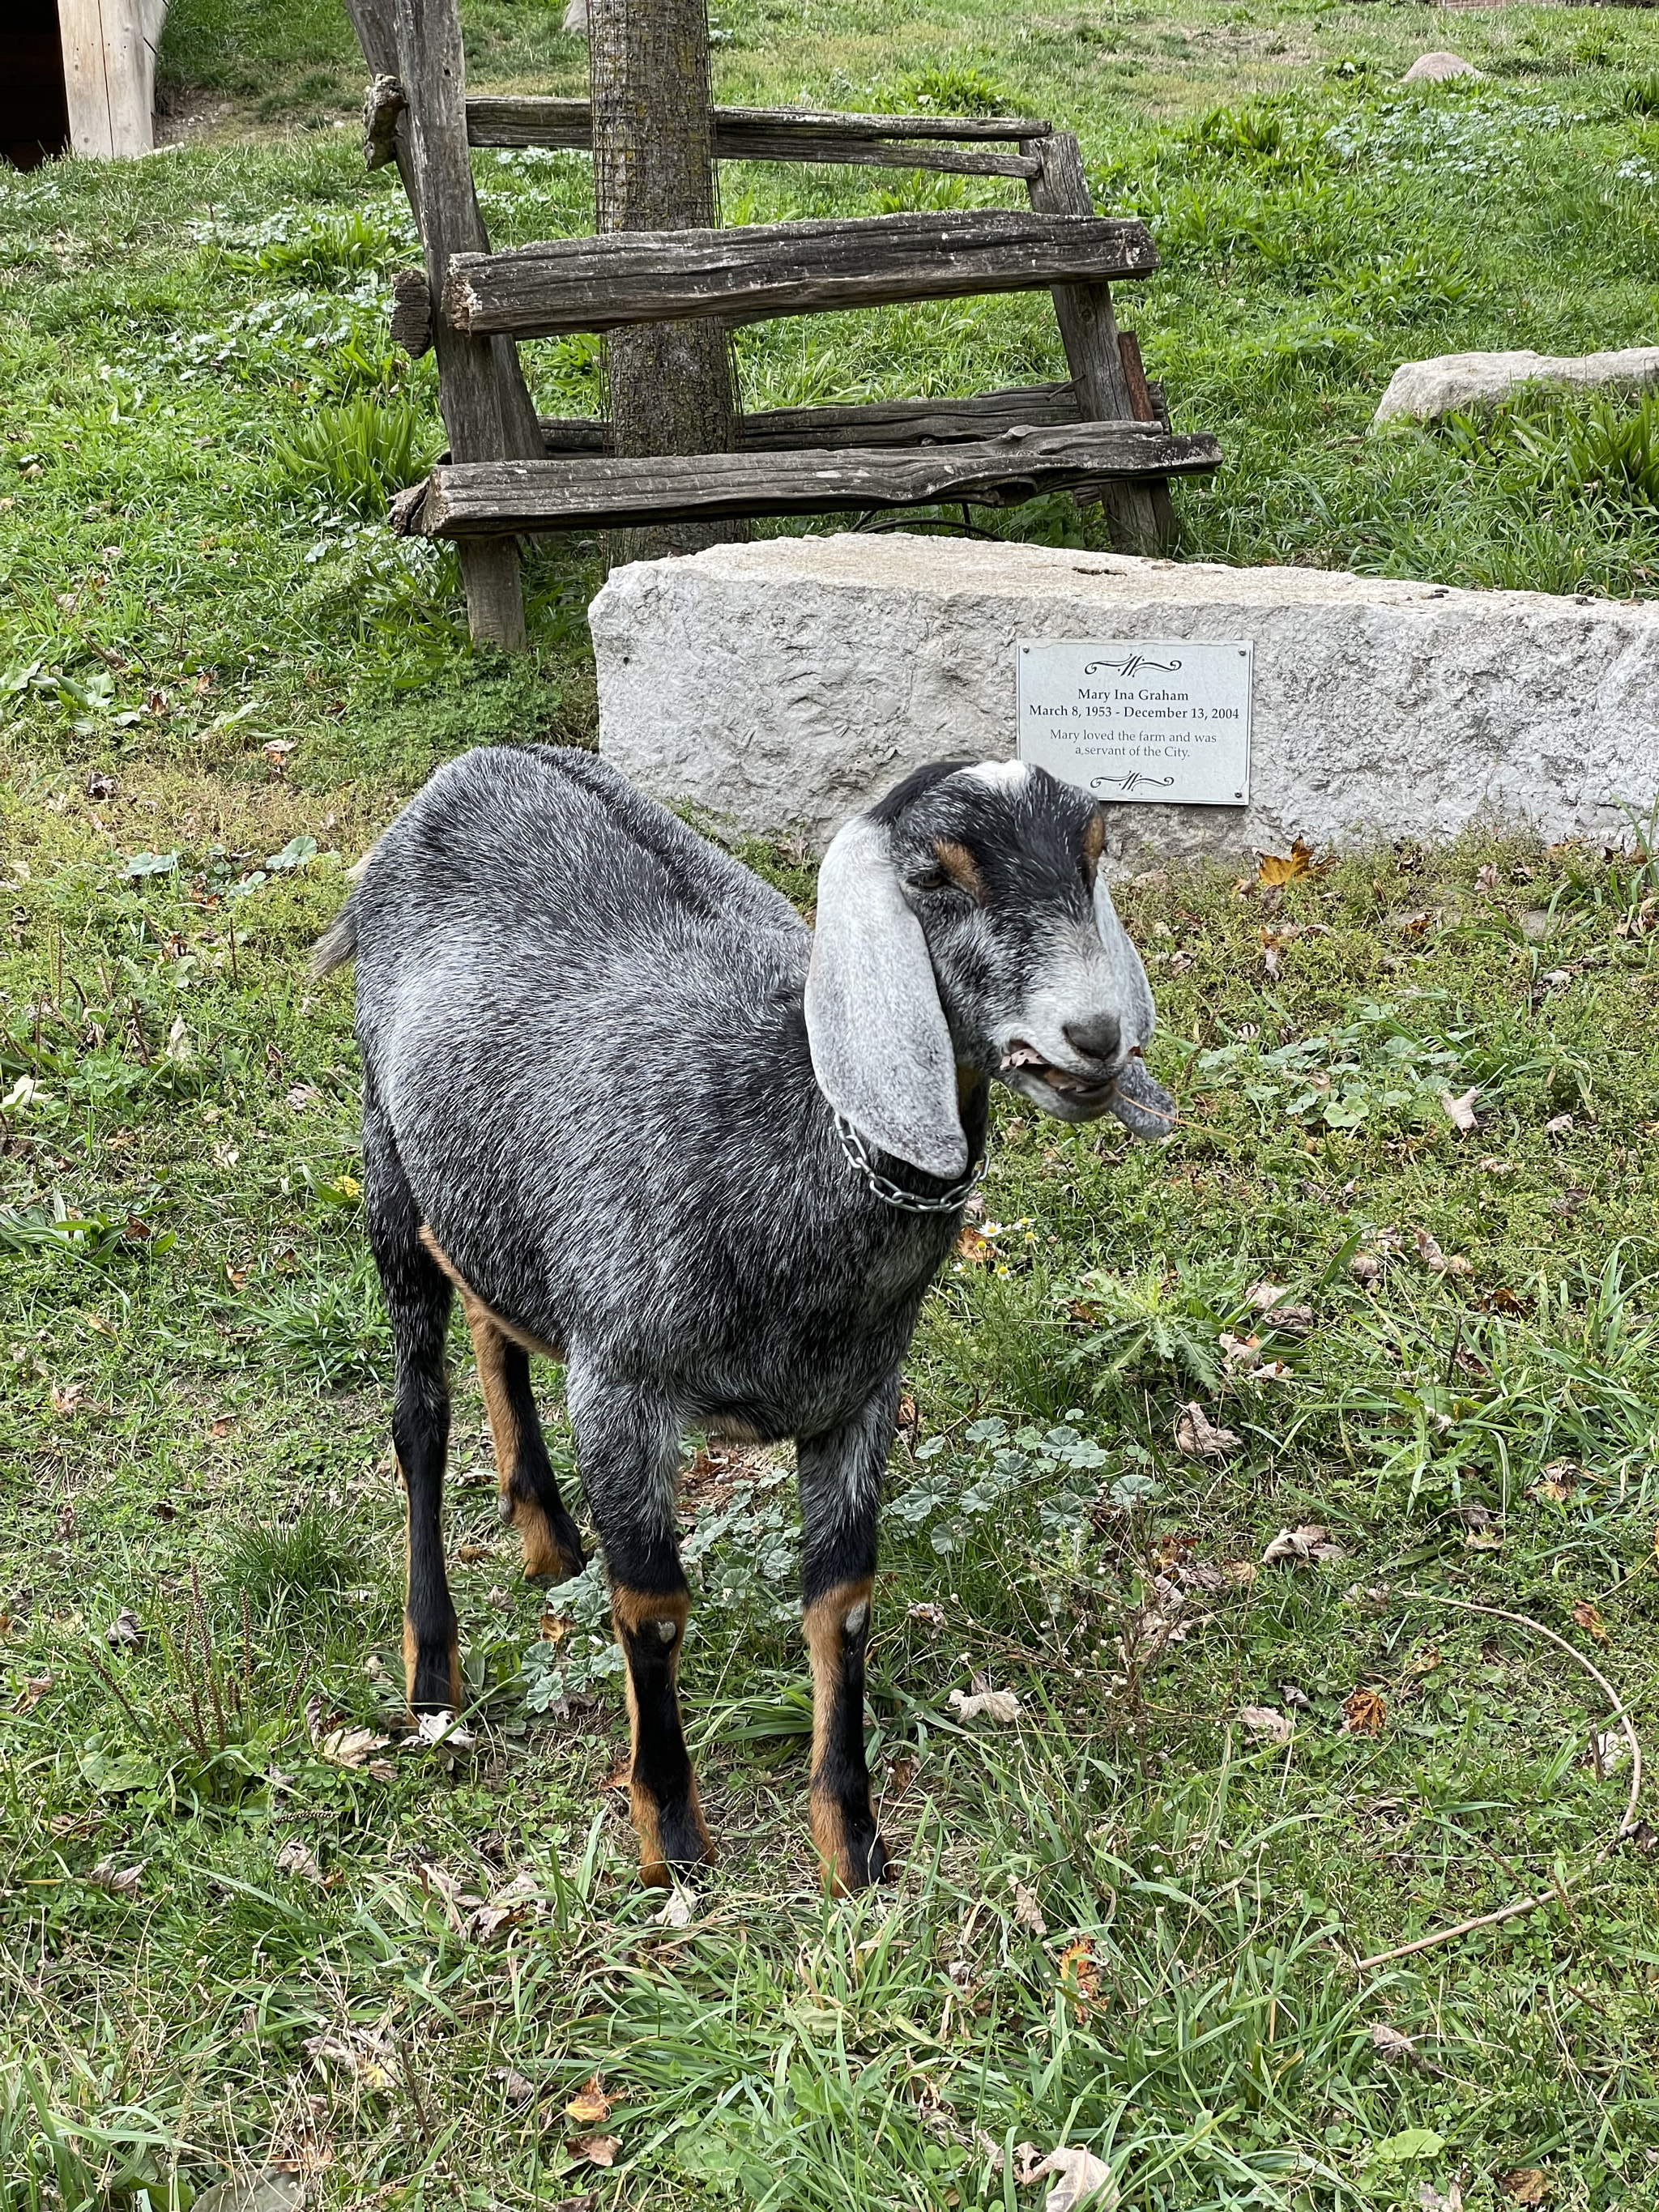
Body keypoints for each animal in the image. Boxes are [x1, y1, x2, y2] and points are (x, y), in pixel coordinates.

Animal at [312, 752, 1167, 1893]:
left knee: (498, 1320)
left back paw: (544, 1531)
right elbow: (653, 1610)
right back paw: (433, 1673)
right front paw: (671, 1838)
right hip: (385, 1158)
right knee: (418, 1418)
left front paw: (851, 1844)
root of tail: (471, 767)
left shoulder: (858, 1396)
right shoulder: (620, 1382)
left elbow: (842, 1602)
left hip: (486, 1187)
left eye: (1092, 853)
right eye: (932, 877)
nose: (1094, 1037)